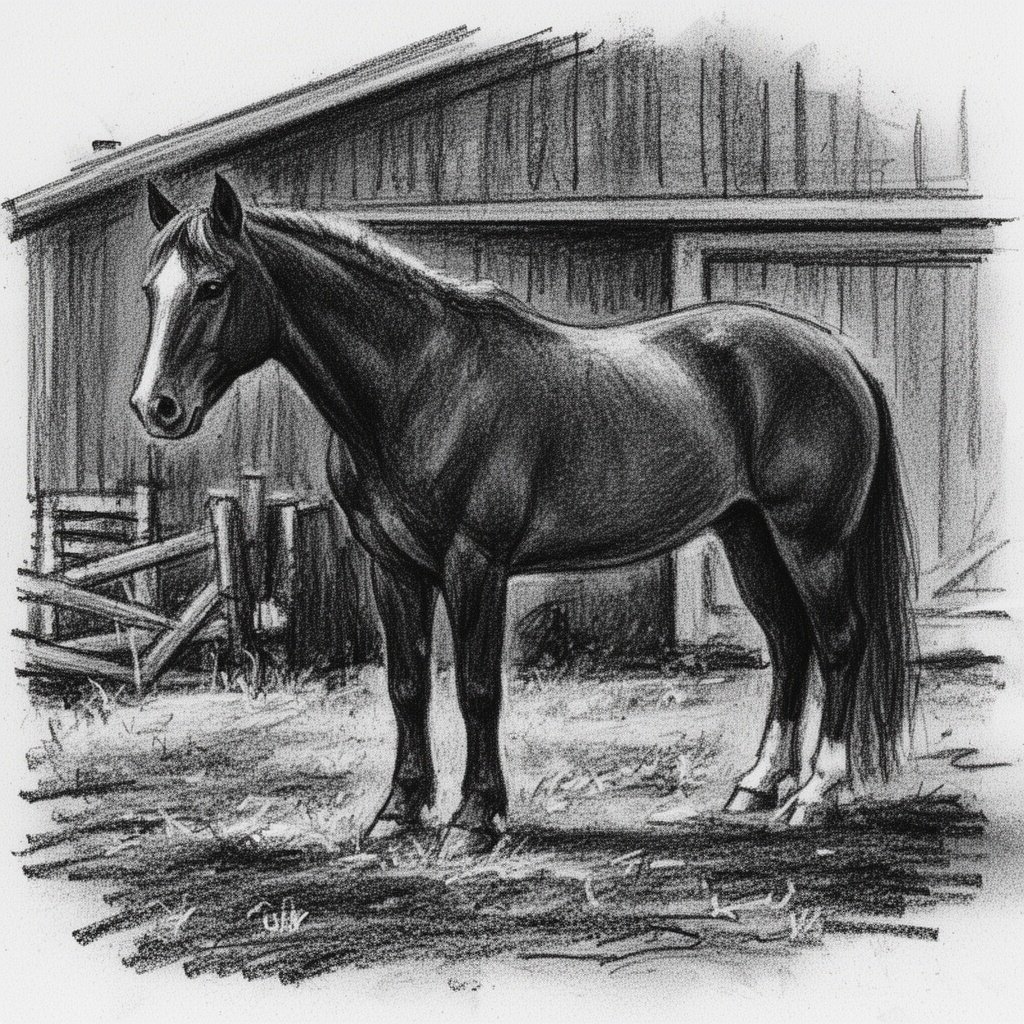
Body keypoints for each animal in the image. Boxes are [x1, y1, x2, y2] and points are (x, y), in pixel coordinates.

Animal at [134, 175, 918, 856]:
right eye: (150, 290)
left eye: (213, 285)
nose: (156, 407)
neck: (420, 383)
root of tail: (840, 355)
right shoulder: (390, 565)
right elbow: (407, 684)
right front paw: (398, 812)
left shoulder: (475, 563)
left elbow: (479, 688)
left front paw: (474, 820)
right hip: (748, 533)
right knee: (789, 642)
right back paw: (756, 785)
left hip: (810, 541)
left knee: (838, 640)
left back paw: (816, 792)